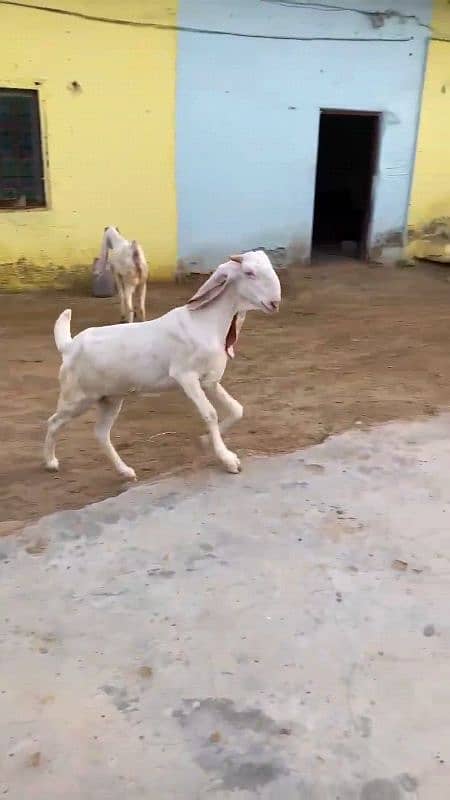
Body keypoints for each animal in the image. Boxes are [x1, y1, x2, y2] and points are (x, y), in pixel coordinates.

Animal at [43, 250, 282, 478]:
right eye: (249, 272)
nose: (274, 303)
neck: (204, 322)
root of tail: (69, 346)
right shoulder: (185, 376)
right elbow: (210, 414)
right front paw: (228, 460)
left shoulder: (209, 381)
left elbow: (237, 409)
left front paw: (205, 441)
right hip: (77, 398)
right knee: (53, 421)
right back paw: (51, 463)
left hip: (110, 398)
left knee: (101, 433)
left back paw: (126, 472)